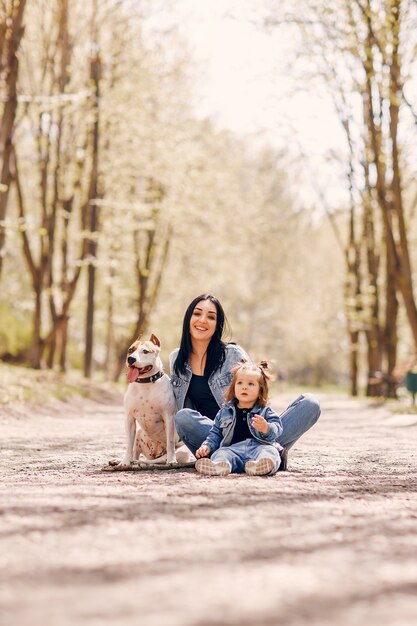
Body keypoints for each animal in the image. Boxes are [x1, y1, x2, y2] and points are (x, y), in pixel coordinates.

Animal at [120, 336, 179, 464]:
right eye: (130, 350)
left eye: (145, 351)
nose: (130, 359)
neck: (145, 383)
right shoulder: (129, 418)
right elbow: (128, 444)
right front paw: (125, 462)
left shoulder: (169, 417)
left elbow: (170, 442)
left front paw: (171, 460)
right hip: (139, 435)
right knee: (136, 455)